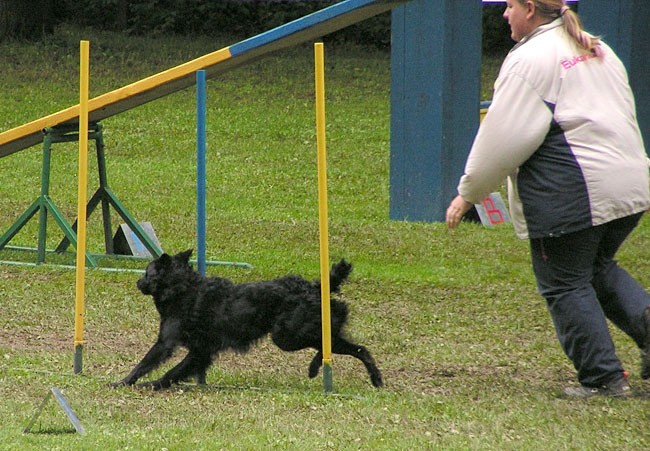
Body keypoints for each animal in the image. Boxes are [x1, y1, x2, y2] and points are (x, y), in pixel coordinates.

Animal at [109, 249, 382, 390]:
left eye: (147, 272)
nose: (138, 282)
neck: (183, 289)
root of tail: (314, 286)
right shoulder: (201, 352)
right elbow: (176, 371)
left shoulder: (168, 344)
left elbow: (148, 365)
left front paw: (128, 382)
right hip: (297, 333)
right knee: (355, 345)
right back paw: (369, 378)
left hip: (287, 336)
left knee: (338, 341)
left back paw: (319, 368)